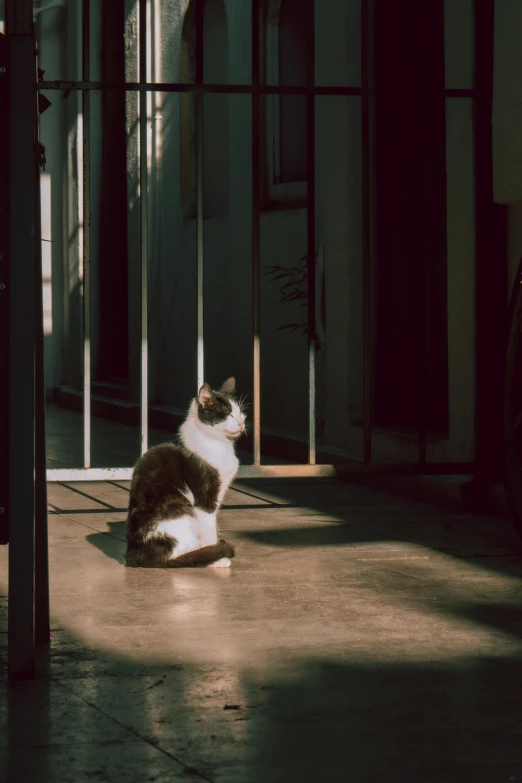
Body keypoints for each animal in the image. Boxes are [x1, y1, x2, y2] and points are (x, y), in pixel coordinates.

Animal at [123, 378, 244, 568]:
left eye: (241, 413)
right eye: (228, 414)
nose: (241, 423)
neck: (219, 444)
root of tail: (134, 558)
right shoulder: (204, 499)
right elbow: (209, 530)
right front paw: (215, 558)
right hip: (179, 507)